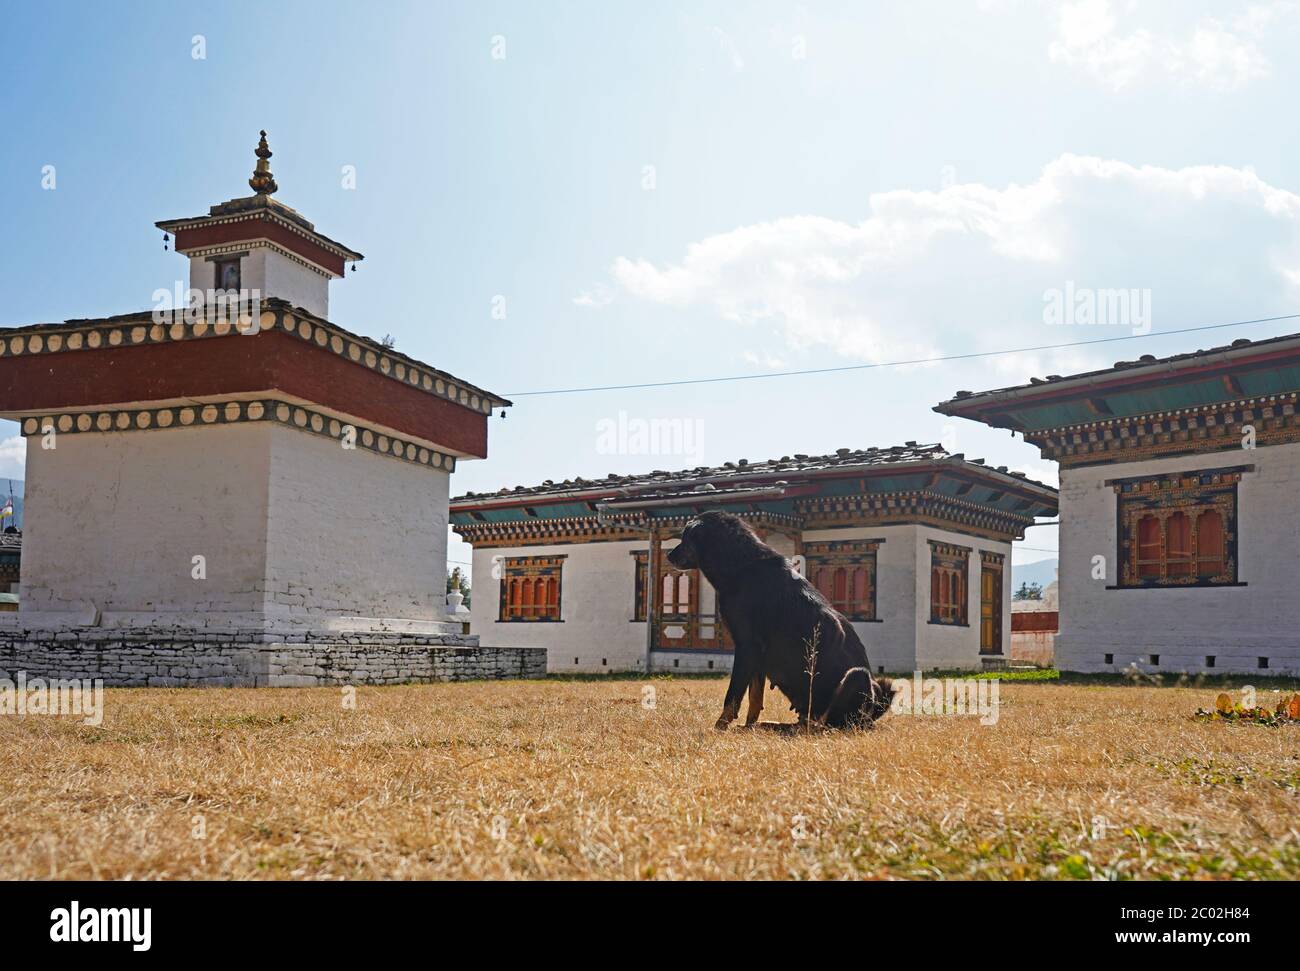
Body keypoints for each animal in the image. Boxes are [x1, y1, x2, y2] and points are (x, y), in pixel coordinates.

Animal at [670, 512, 894, 733]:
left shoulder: (747, 646)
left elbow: (733, 696)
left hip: (857, 677)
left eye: (686, 537)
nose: (669, 555)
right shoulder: (757, 654)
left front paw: (720, 727)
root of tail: (873, 714)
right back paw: (773, 725)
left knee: (825, 724)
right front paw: (748, 727)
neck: (741, 566)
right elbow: (754, 697)